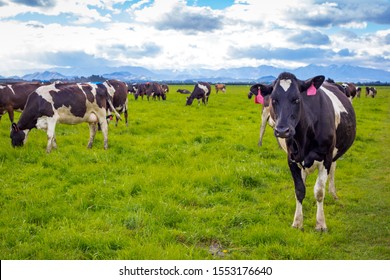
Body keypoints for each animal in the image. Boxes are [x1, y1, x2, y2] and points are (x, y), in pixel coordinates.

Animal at [253, 72, 356, 230]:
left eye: (297, 99)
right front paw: (297, 222)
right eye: (273, 99)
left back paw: (333, 194)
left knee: (333, 170)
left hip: (334, 154)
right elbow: (299, 190)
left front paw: (320, 224)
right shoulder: (291, 159)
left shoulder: (325, 158)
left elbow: (319, 191)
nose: (282, 130)